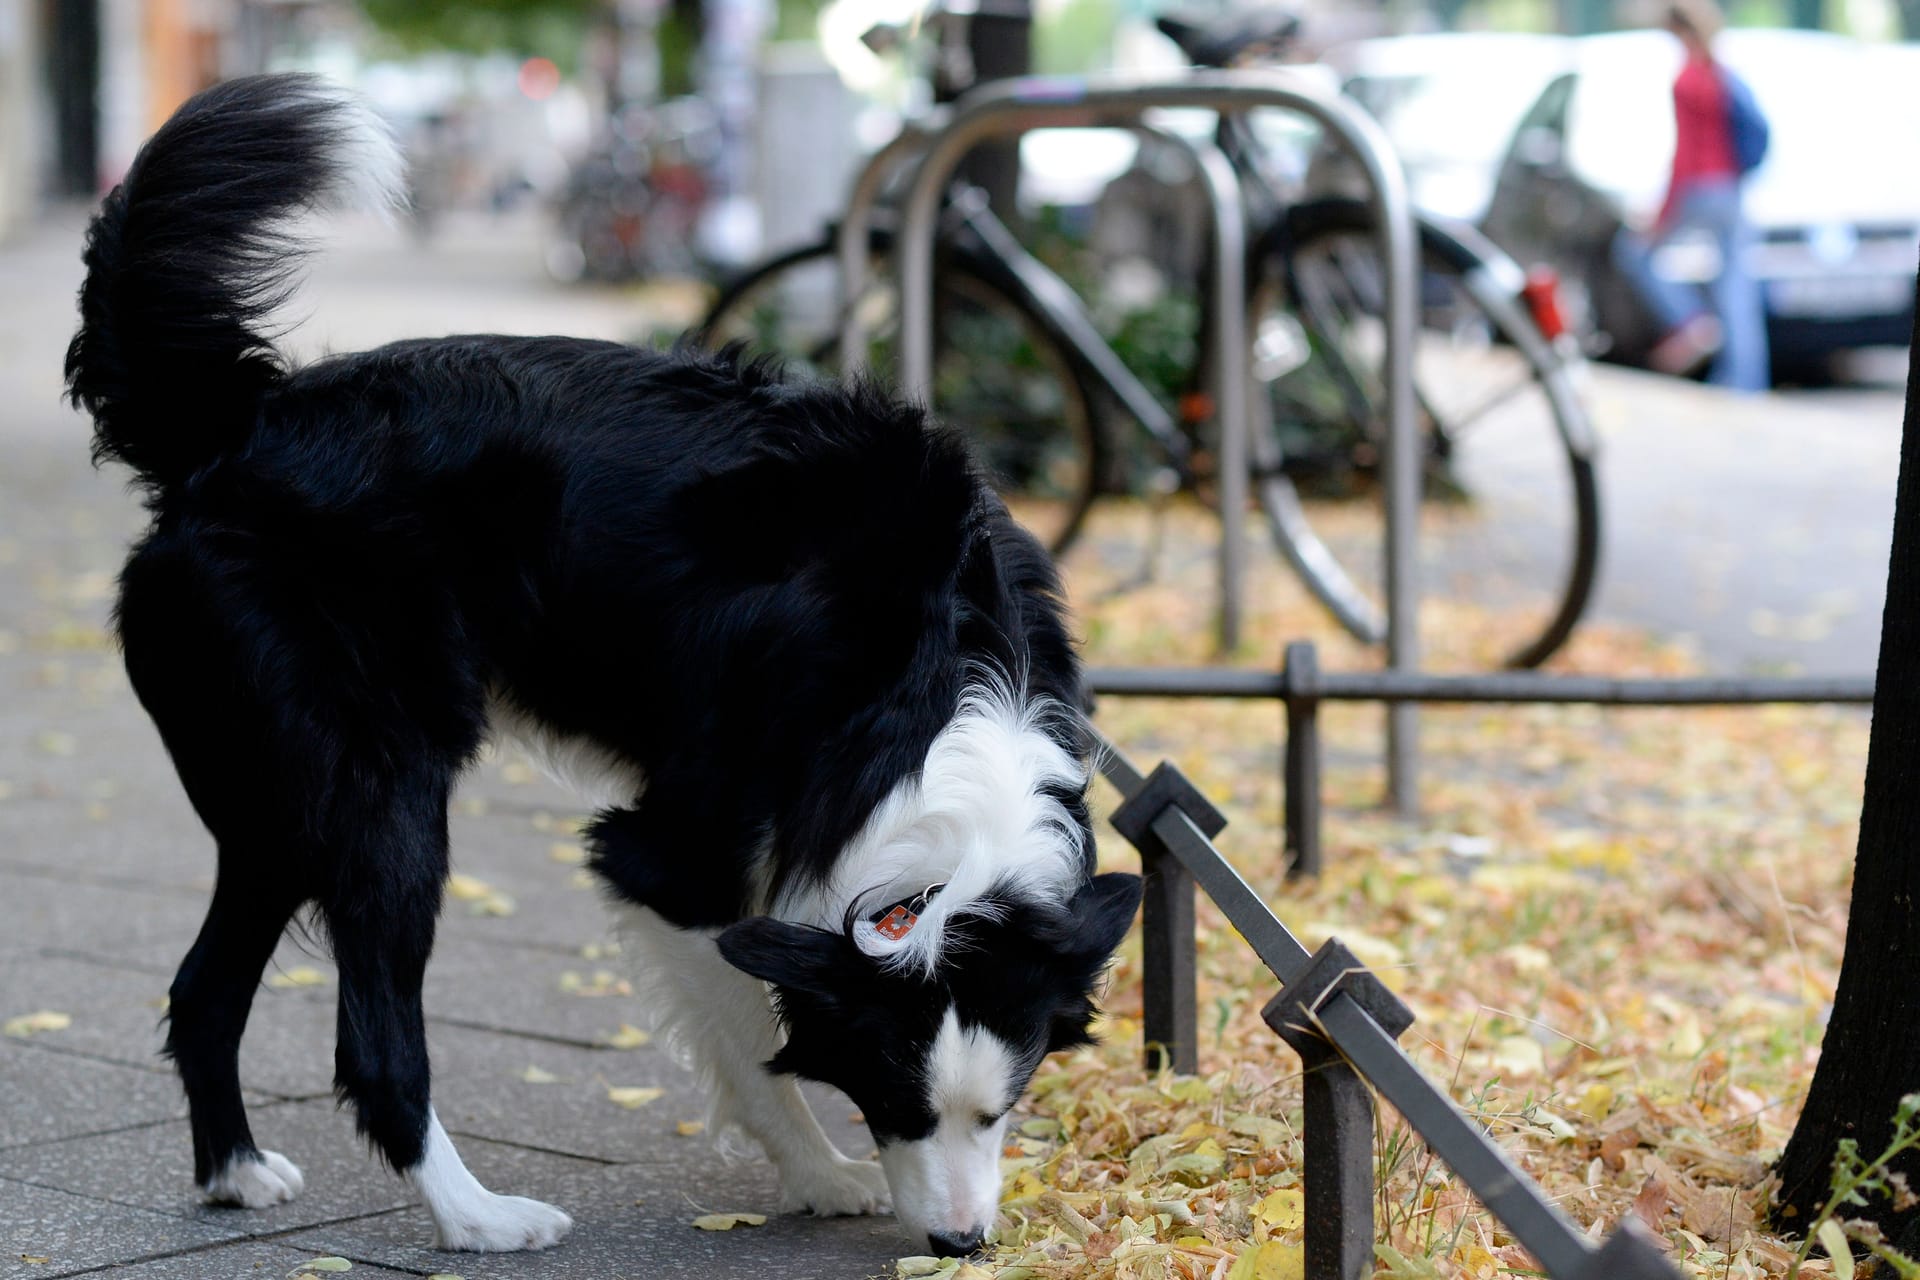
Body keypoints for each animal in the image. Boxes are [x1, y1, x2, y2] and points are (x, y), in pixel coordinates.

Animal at [67, 75, 1128, 1258]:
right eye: (893, 1099)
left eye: (1008, 1103)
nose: (960, 1244)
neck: (936, 687)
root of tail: (234, 430)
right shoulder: (671, 859)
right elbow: (754, 1047)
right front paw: (818, 1171)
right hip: (381, 800)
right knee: (374, 1042)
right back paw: (478, 1217)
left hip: (280, 814)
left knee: (203, 990)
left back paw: (235, 1172)